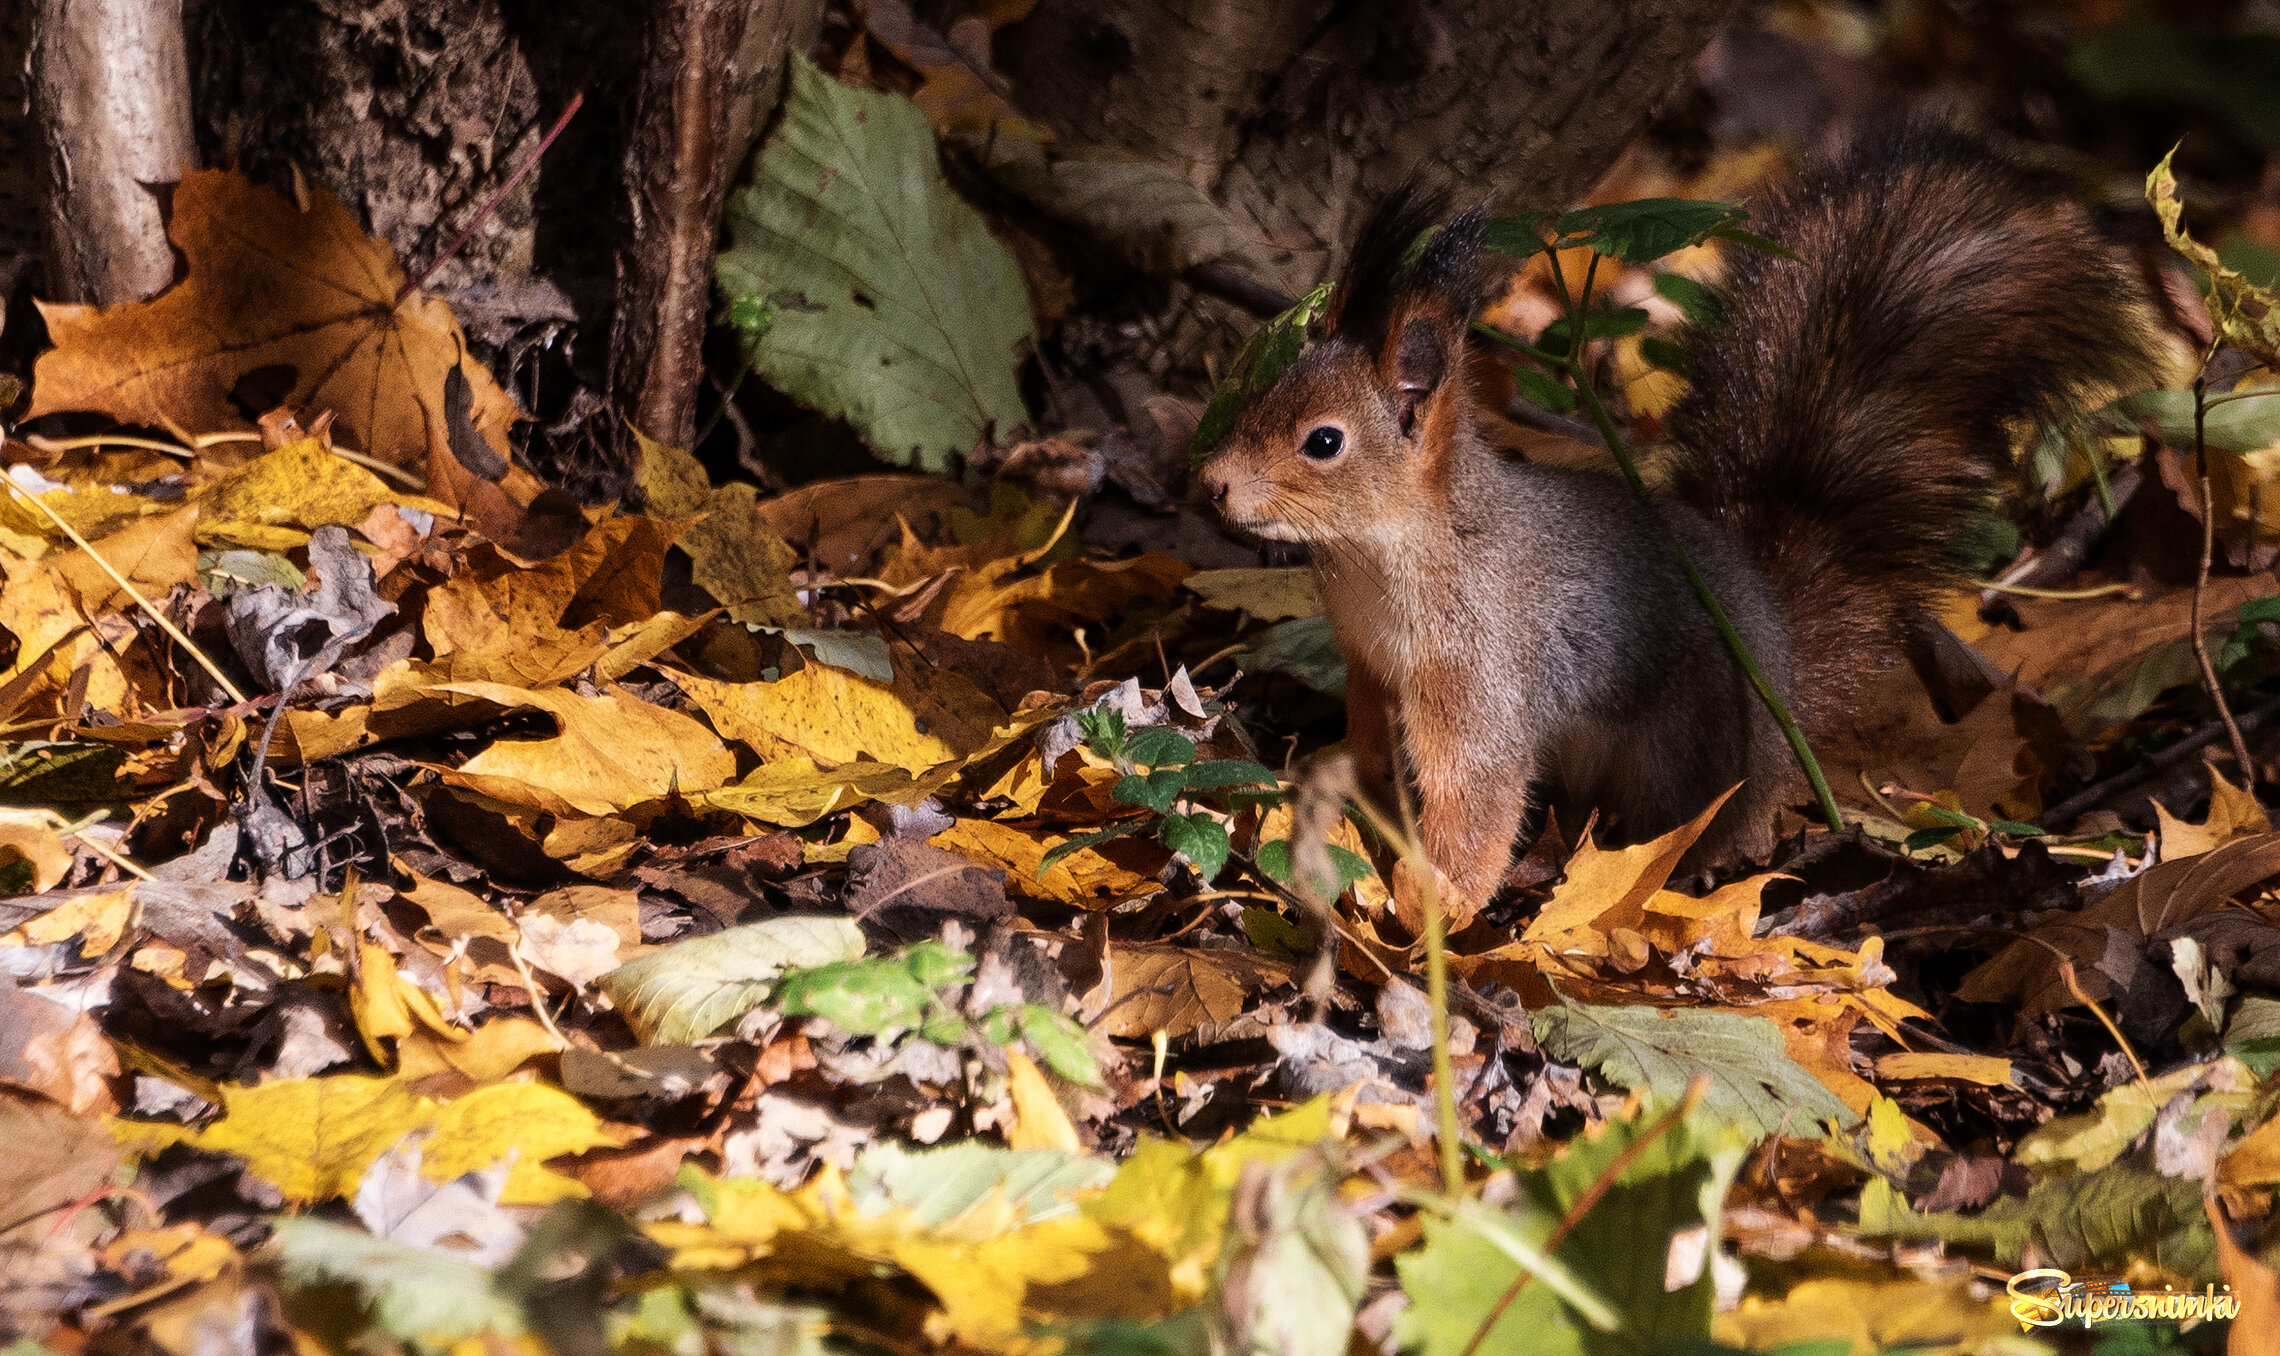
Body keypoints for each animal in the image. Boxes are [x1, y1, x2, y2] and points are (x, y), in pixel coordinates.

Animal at [1194, 124, 2152, 925]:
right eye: (1267, 386)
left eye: (1323, 441)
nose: (1212, 484)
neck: (1383, 555)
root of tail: (1778, 659)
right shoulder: (1368, 665)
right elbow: (1368, 748)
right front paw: (1350, 809)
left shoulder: (1479, 674)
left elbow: (1479, 797)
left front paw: (1439, 899)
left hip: (1684, 756)